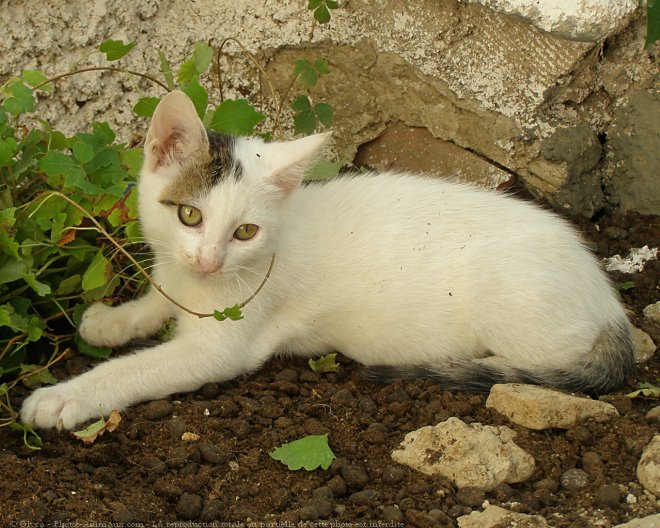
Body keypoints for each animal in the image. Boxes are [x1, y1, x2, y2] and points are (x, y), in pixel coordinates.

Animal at [21, 91, 636, 428]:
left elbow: (137, 369)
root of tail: (610, 305)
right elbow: (159, 298)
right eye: (189, 216)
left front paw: (63, 397)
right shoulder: (178, 272)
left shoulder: (223, 347)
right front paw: (114, 319)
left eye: (245, 231)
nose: (210, 261)